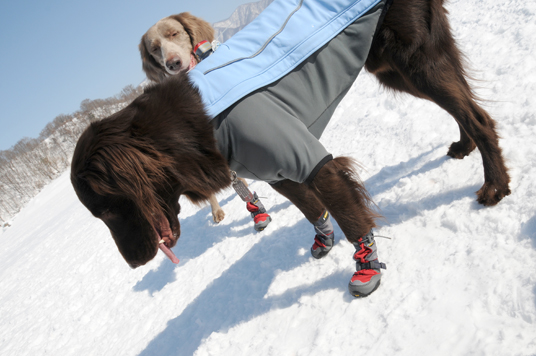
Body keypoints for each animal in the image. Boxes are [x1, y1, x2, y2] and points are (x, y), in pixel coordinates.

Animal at [71, 0, 510, 268]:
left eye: (108, 210)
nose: (135, 262)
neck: (187, 129)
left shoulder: (312, 161)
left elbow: (351, 217)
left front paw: (366, 270)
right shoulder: (276, 172)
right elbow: (312, 209)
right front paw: (323, 243)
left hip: (414, 61)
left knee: (478, 117)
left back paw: (494, 186)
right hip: (394, 69)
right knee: (466, 108)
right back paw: (464, 147)